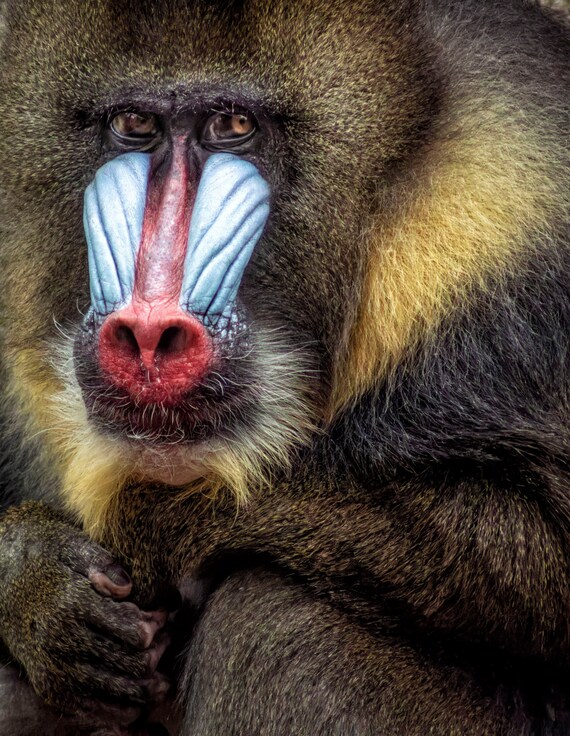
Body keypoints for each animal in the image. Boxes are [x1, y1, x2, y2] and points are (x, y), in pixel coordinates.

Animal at [0, 0, 569, 734]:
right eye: (134, 125)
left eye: (233, 126)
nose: (149, 335)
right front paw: (37, 579)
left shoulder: (503, 235)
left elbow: (535, 551)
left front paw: (137, 526)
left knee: (273, 616)